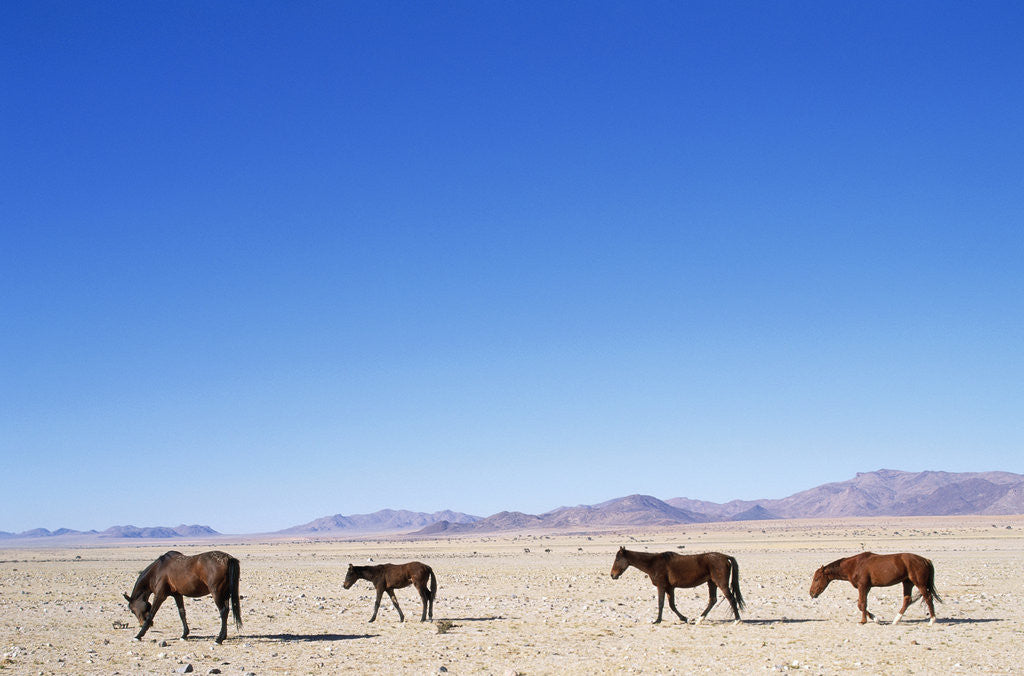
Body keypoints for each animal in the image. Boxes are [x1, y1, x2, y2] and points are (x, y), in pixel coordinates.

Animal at [610, 547, 745, 624]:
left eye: (617, 559)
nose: (612, 575)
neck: (653, 563)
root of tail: (726, 557)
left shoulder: (661, 586)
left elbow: (661, 603)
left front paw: (657, 620)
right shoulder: (670, 588)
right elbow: (672, 605)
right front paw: (684, 618)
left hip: (721, 583)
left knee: (731, 598)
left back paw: (737, 620)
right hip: (711, 583)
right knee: (713, 600)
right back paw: (699, 619)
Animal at [809, 551, 941, 624]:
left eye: (816, 578)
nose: (811, 593)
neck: (854, 565)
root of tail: (925, 560)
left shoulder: (863, 586)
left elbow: (861, 604)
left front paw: (864, 621)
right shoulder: (866, 588)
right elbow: (862, 605)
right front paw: (876, 619)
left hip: (920, 583)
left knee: (928, 598)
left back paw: (932, 620)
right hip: (907, 582)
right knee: (907, 600)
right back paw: (896, 620)